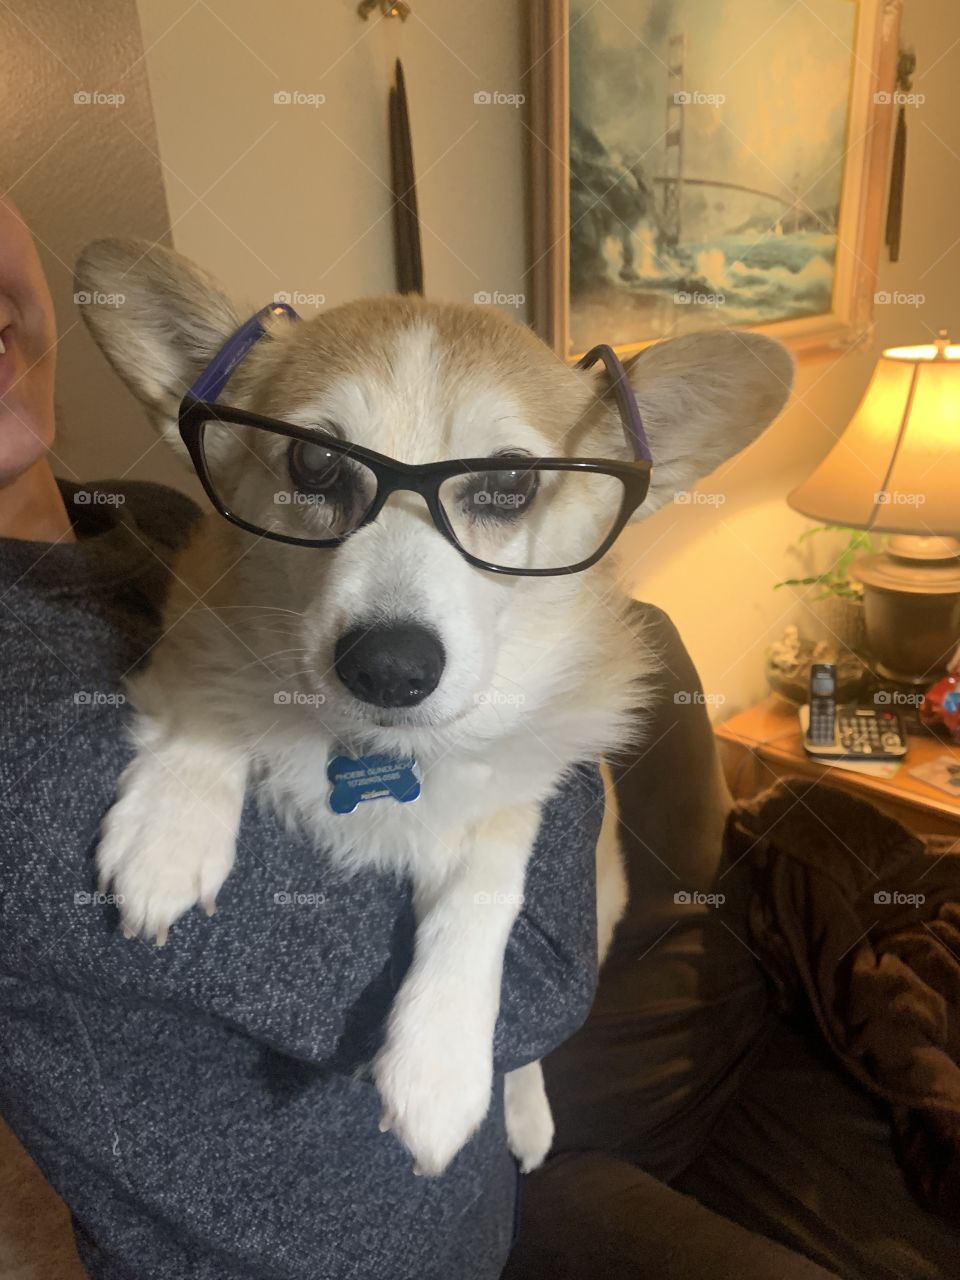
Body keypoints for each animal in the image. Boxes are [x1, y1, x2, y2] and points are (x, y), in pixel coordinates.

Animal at [77, 240, 798, 1177]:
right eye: (313, 464)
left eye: (512, 482)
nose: (388, 668)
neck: (373, 746)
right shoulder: (203, 619)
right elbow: (210, 693)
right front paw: (172, 830)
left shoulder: (524, 794)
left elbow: (485, 888)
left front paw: (439, 1068)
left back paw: (525, 1115)